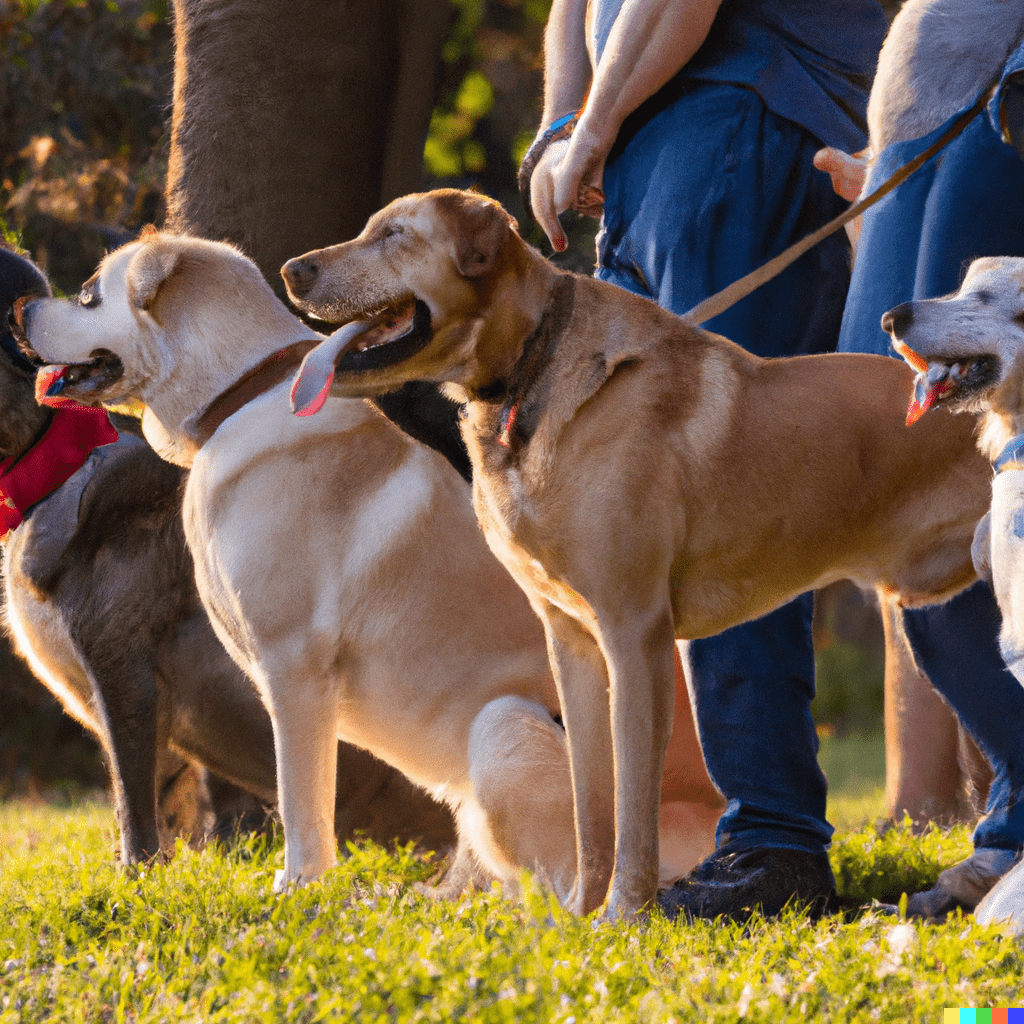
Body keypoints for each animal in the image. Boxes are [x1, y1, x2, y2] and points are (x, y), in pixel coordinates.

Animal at [284, 190, 995, 921]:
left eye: (393, 235)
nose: (291, 271)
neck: (528, 373)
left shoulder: (636, 636)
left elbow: (631, 807)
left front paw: (626, 915)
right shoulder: (571, 643)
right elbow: (590, 810)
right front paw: (579, 914)